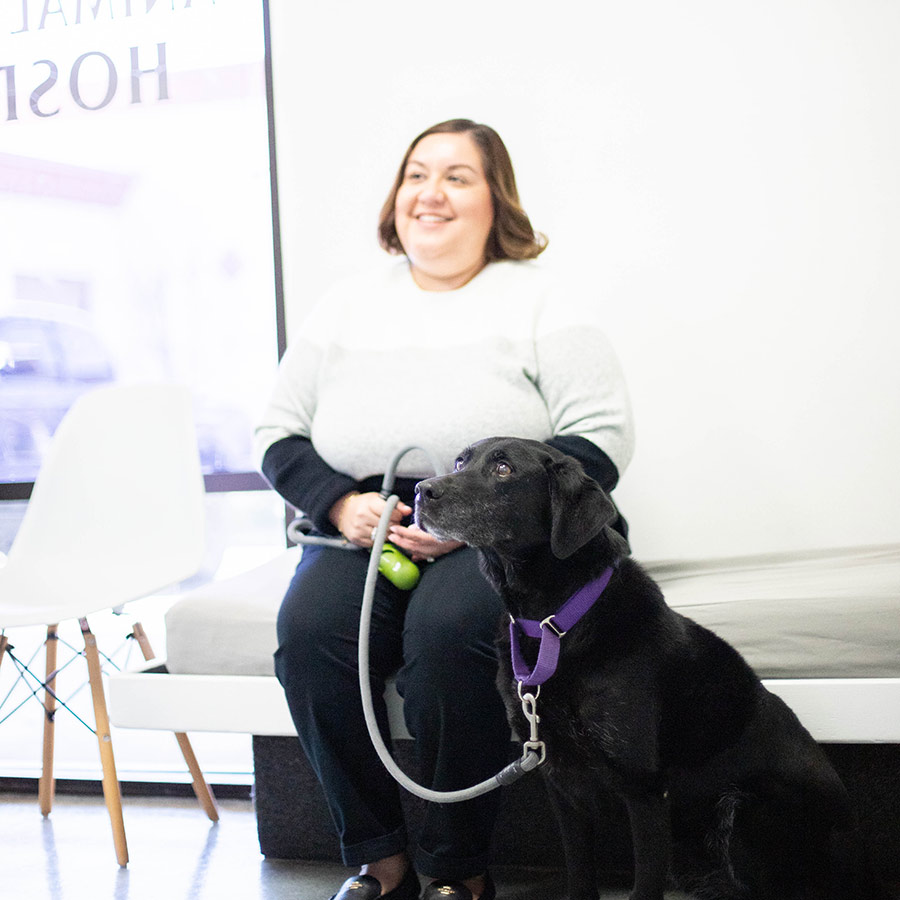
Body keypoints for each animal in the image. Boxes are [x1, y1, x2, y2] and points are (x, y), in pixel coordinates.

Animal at [414, 438, 892, 900]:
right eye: (460, 462)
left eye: (503, 468)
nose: (420, 491)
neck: (555, 623)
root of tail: (866, 869)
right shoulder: (562, 784)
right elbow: (579, 872)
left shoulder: (643, 789)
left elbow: (645, 882)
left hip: (745, 813)